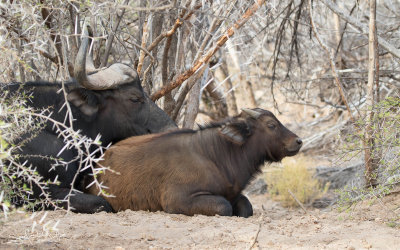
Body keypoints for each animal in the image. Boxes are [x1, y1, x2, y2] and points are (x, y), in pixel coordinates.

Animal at [86, 108, 300, 218]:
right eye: (271, 125)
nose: (298, 141)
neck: (216, 156)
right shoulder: (179, 199)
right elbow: (224, 207)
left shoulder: (232, 194)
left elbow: (246, 206)